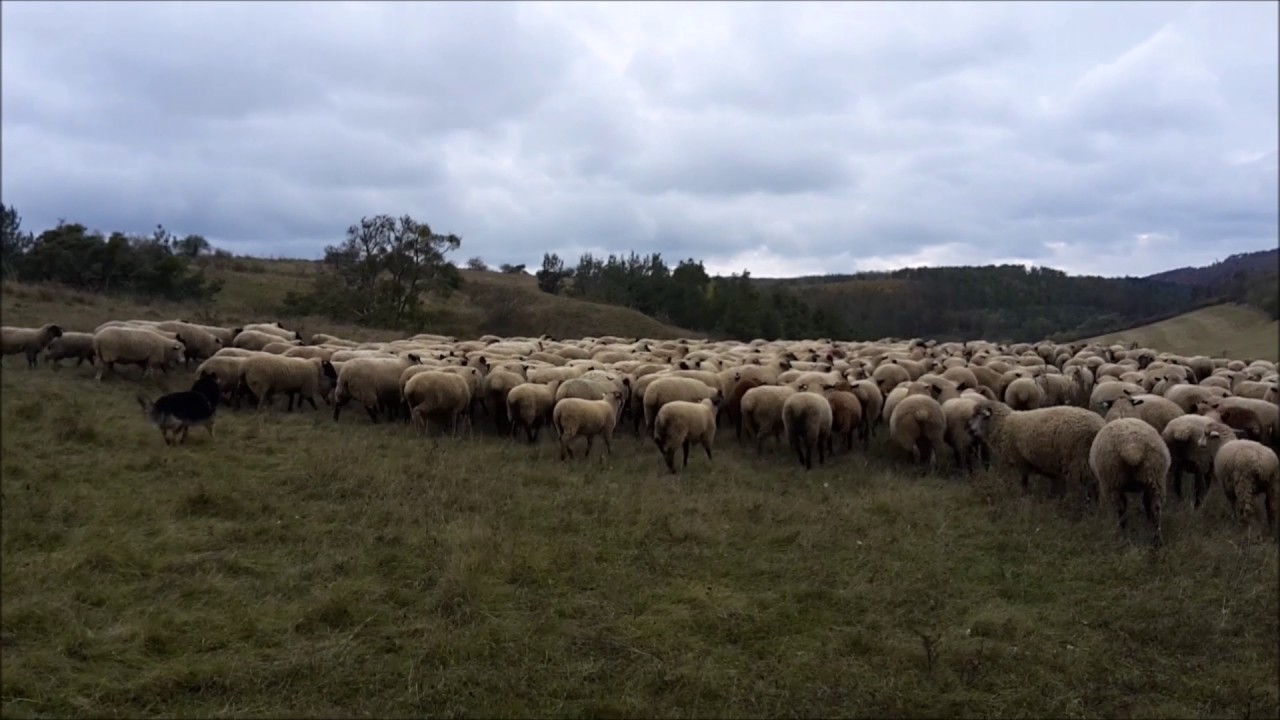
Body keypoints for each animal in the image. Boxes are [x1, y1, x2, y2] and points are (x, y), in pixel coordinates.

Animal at [968, 401, 1104, 497]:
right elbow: (1058, 485)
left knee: (1093, 486)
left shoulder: (1021, 462)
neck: (1003, 424)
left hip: (1079, 460)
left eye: (978, 415)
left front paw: (1023, 497)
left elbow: (1023, 483)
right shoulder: (1049, 466)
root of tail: (1099, 425)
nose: (969, 428)